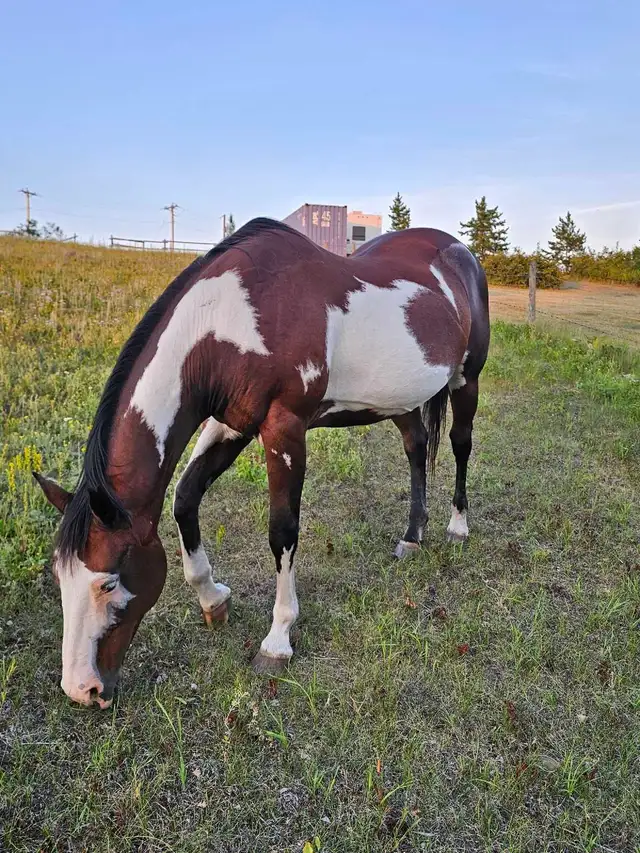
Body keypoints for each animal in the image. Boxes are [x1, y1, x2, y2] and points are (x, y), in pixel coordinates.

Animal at [34, 218, 490, 708]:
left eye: (108, 583)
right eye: (60, 577)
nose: (82, 689)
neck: (223, 320)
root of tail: (459, 251)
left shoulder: (284, 429)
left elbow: (282, 531)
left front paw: (277, 640)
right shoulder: (231, 423)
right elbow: (185, 497)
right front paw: (213, 599)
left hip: (466, 379)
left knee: (460, 446)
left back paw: (457, 527)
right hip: (398, 399)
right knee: (416, 449)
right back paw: (411, 537)